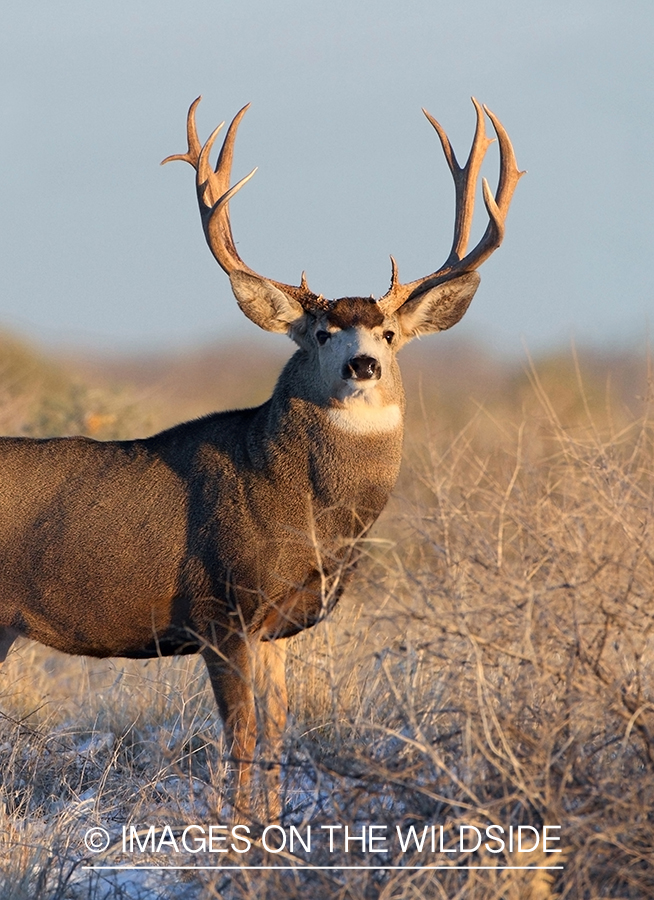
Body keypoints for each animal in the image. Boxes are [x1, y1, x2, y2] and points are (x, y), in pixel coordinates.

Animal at [0, 95, 524, 820]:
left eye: (390, 333)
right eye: (321, 333)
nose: (363, 365)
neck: (303, 517)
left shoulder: (277, 626)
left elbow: (276, 731)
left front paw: (272, 827)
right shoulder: (220, 609)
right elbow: (241, 736)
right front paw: (235, 832)